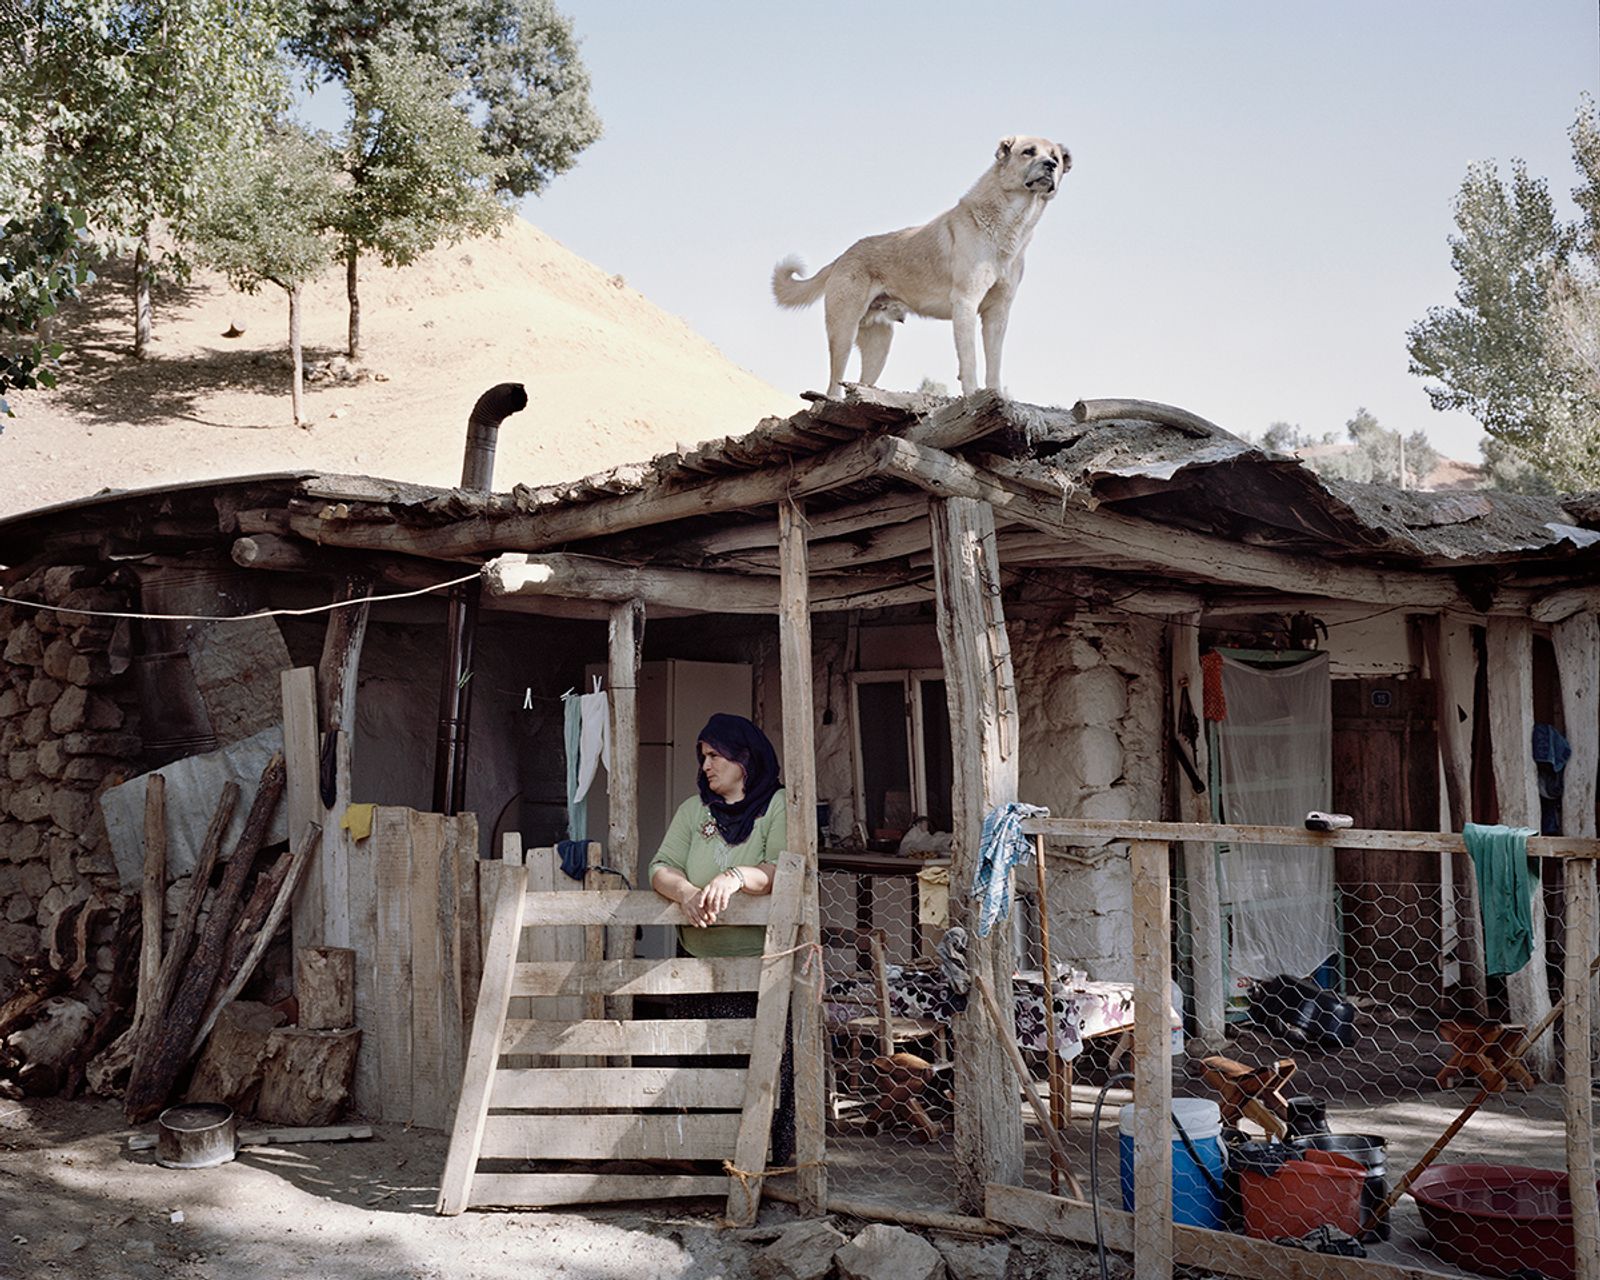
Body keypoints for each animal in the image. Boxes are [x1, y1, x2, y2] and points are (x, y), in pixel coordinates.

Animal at [768, 132, 1068, 396]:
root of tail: (844, 255)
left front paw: (996, 396)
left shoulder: (997, 313)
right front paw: (972, 394)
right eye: (1029, 151)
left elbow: (994, 362)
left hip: (879, 345)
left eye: (1055, 157)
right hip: (843, 332)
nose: (1050, 166)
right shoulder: (966, 302)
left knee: (860, 384)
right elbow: (969, 360)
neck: (1010, 222)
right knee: (833, 386)